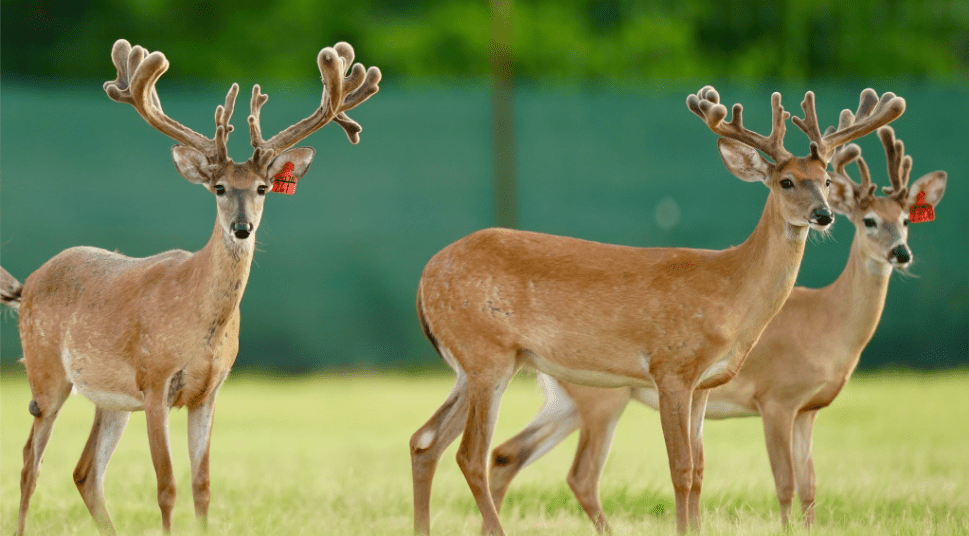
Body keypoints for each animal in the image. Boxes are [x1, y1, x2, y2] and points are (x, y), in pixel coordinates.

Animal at [5, 38, 380, 535]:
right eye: (218, 187)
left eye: (262, 188)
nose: (241, 228)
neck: (200, 324)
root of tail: (29, 283)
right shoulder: (156, 380)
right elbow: (167, 487)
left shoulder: (209, 390)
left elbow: (202, 487)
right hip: (46, 372)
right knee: (30, 461)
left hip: (110, 399)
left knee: (85, 472)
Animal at [409, 85, 905, 536]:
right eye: (786, 181)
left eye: (825, 181)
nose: (823, 215)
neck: (730, 289)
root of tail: (425, 278)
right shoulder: (673, 368)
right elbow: (681, 468)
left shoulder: (706, 383)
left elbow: (701, 469)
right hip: (488, 354)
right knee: (470, 455)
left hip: (478, 366)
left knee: (425, 442)